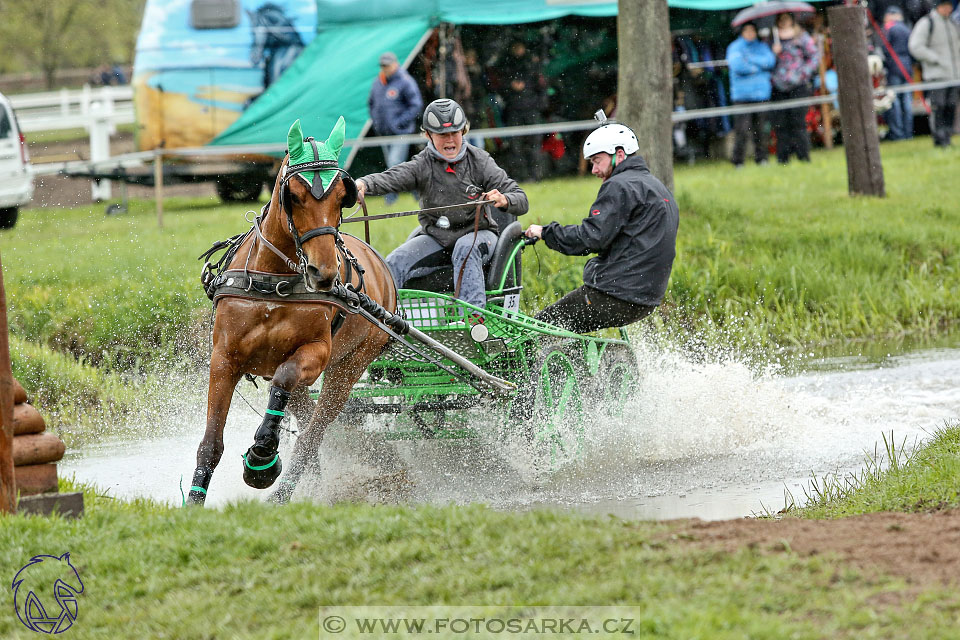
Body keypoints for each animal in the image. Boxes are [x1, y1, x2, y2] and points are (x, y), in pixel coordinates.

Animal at [186, 116, 396, 504]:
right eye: (294, 195)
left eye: (341, 196)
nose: (323, 273)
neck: (276, 282)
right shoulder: (224, 358)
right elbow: (211, 443)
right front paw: (193, 502)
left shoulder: (315, 353)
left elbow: (285, 378)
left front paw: (262, 458)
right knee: (305, 418)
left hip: (349, 367)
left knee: (313, 433)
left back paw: (283, 492)